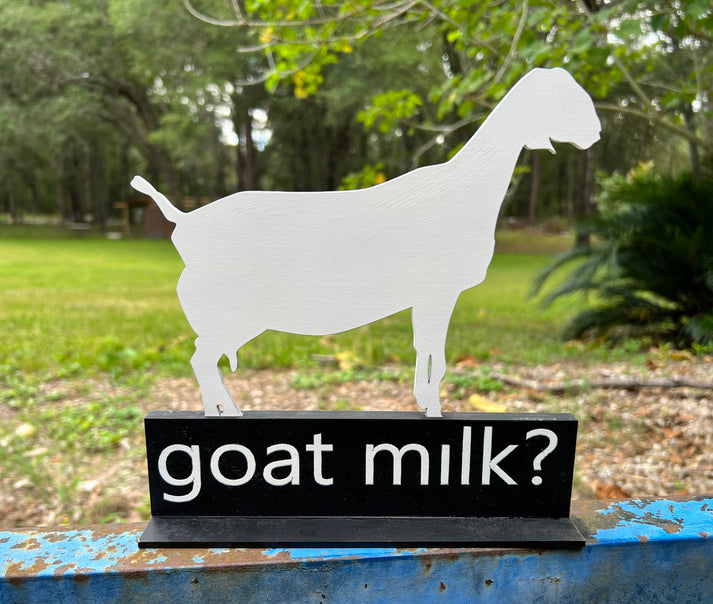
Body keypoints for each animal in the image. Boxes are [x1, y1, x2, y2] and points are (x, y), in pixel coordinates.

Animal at [131, 67, 600, 418]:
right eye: (562, 98)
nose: (596, 134)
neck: (467, 187)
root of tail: (185, 222)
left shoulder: (427, 297)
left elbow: (424, 351)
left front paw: (424, 403)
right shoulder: (440, 291)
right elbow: (436, 356)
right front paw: (433, 406)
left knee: (203, 359)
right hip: (232, 313)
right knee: (201, 359)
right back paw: (225, 412)